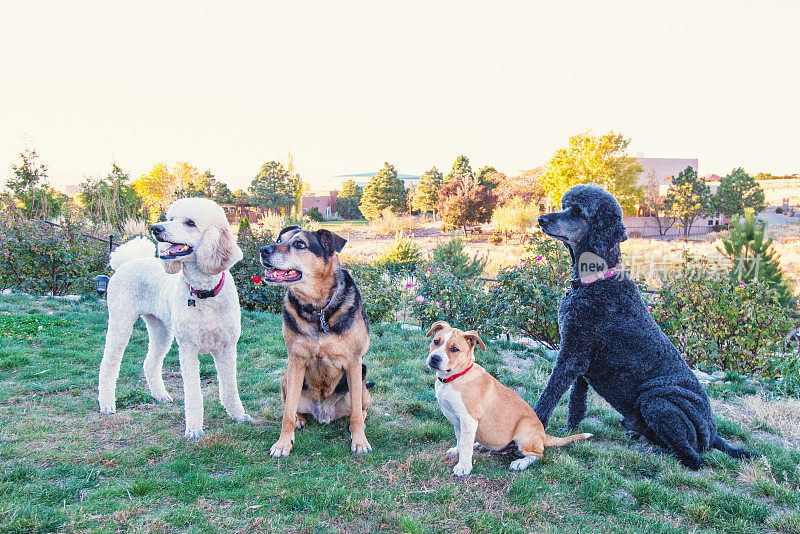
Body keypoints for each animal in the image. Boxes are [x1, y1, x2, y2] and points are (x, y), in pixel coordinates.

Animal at [262, 224, 376, 458]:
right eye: (279, 240)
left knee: (359, 409)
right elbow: (286, 414)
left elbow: (355, 416)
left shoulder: (354, 362)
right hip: (286, 379)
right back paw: (300, 418)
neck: (318, 308)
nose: (263, 250)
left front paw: (359, 441)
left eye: (299, 244)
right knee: (292, 407)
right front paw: (283, 443)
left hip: (362, 380)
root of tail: (324, 413)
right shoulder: (296, 361)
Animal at [428, 322, 592, 478]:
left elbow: (465, 445)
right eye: (436, 341)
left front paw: (463, 467)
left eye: (454, 349)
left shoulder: (468, 419)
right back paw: (480, 445)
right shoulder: (457, 420)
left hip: (525, 432)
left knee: (538, 454)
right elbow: (460, 440)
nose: (434, 358)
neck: (454, 378)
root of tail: (543, 436)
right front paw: (457, 452)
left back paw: (520, 463)